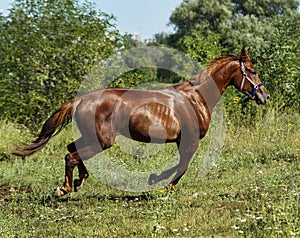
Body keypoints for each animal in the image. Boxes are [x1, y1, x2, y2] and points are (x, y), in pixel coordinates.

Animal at [12, 47, 270, 196]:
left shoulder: (182, 141)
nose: (264, 96)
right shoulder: (190, 141)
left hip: (92, 137)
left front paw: (158, 180)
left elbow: (181, 165)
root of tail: (80, 100)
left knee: (72, 149)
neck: (196, 97)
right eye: (252, 70)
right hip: (102, 140)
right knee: (71, 155)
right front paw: (160, 183)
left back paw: (79, 181)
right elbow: (182, 166)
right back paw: (64, 189)